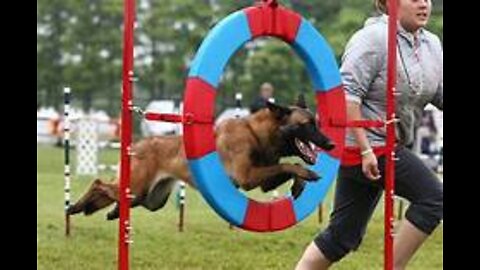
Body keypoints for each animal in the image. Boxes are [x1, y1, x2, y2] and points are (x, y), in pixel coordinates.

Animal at [66, 96, 334, 220]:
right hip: (137, 187)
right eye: (307, 125)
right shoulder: (248, 177)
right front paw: (307, 175)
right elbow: (290, 164)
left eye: (316, 122)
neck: (257, 133)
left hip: (150, 199)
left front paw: (300, 184)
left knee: (116, 196)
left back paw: (109, 212)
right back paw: (75, 206)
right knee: (98, 183)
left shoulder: (264, 181)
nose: (330, 143)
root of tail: (137, 145)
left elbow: (289, 165)